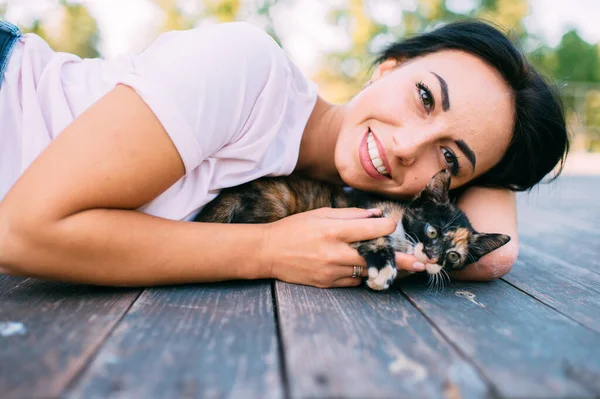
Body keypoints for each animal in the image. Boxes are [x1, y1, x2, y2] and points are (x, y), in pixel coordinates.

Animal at [196, 170, 510, 290]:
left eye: (454, 256)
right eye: (431, 231)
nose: (433, 257)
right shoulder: (360, 214)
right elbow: (376, 237)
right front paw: (383, 270)